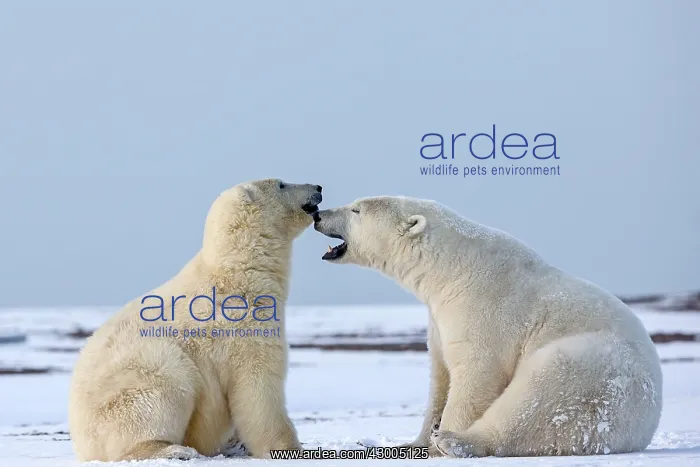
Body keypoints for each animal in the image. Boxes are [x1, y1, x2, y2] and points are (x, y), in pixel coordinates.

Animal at [68, 179, 322, 461]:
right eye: (282, 184)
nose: (318, 188)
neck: (237, 271)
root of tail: (82, 441)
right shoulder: (243, 327)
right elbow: (258, 390)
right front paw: (290, 449)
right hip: (137, 379)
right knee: (163, 385)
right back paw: (174, 449)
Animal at [312, 196, 662, 458]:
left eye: (356, 209)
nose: (317, 213)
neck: (451, 270)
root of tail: (648, 420)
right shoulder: (438, 321)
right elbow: (440, 377)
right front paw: (413, 444)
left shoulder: (484, 307)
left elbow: (477, 373)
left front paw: (439, 440)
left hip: (594, 373)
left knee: (538, 400)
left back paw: (457, 442)